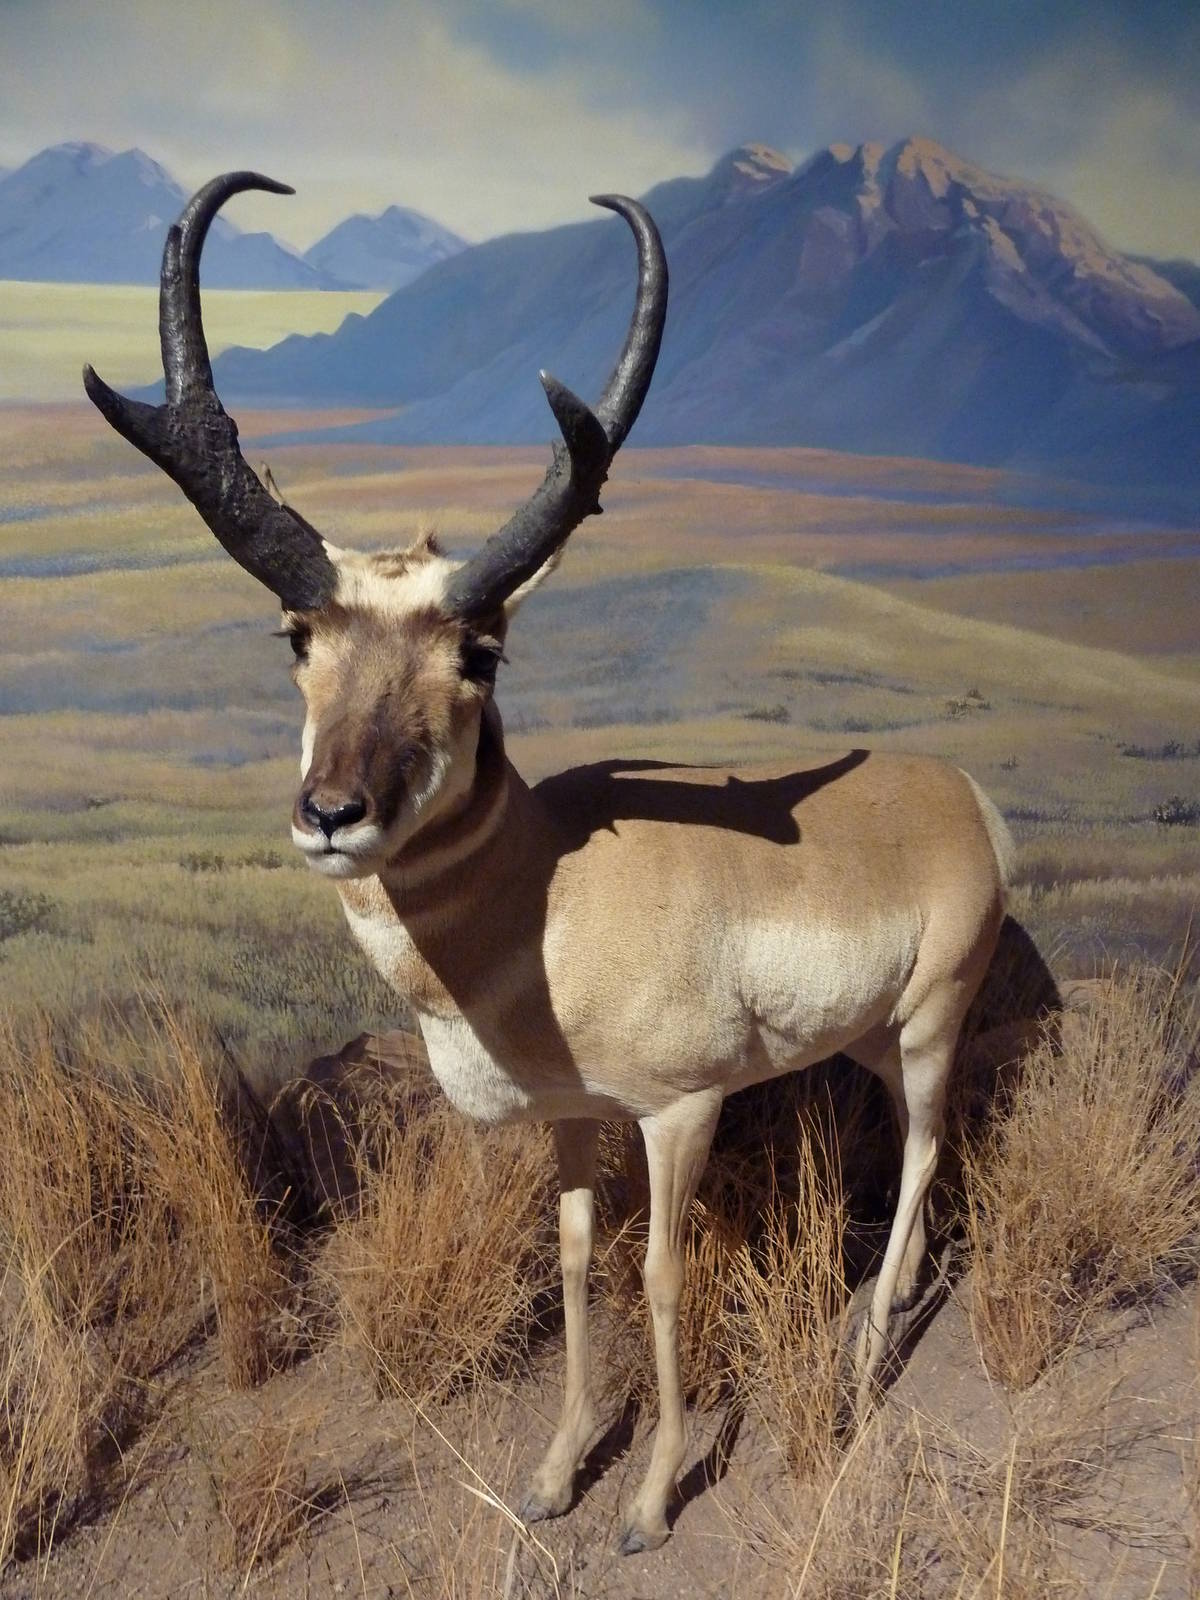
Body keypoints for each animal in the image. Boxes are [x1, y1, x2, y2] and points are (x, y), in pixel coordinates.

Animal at [86, 172, 1012, 1555]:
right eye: (297, 632)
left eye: (479, 651)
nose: (333, 811)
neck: (549, 892)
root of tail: (959, 791)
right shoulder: (576, 1122)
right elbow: (575, 1260)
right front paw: (557, 1468)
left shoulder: (679, 1112)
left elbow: (661, 1273)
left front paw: (650, 1499)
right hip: (866, 1040)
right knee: (913, 1146)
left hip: (932, 1026)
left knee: (926, 1153)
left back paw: (864, 1354)